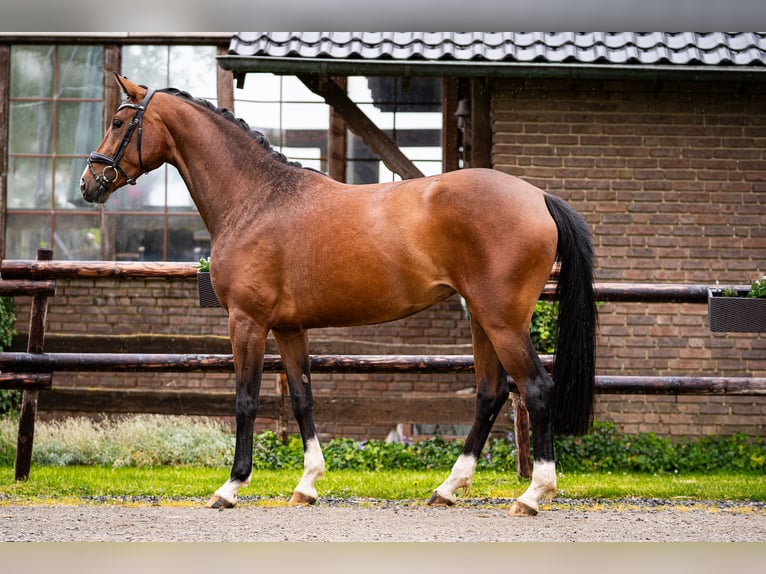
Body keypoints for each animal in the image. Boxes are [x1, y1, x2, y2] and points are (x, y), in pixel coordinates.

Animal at [81, 73, 596, 516]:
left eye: (119, 122)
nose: (90, 183)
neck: (257, 199)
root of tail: (538, 197)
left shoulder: (247, 322)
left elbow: (246, 400)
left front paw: (231, 486)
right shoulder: (289, 329)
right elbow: (302, 399)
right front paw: (307, 484)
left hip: (502, 321)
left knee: (536, 389)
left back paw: (532, 495)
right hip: (482, 320)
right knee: (490, 394)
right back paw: (448, 488)